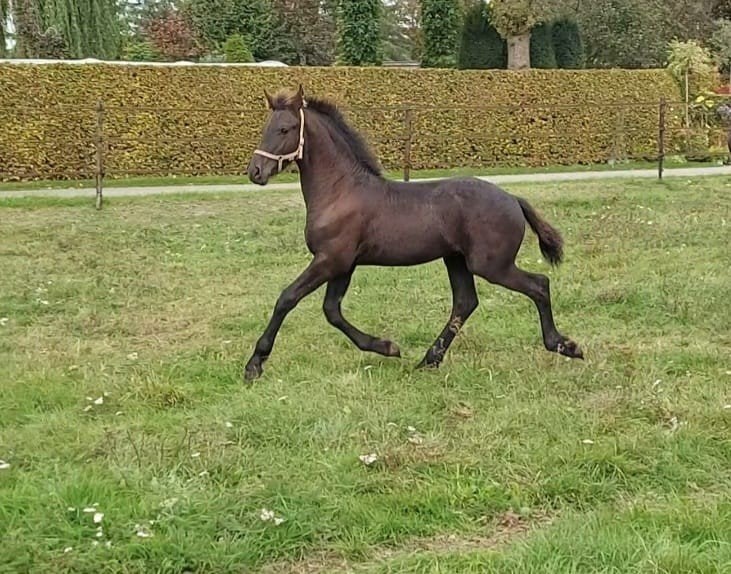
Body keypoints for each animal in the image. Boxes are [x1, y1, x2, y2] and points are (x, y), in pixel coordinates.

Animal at [243, 85, 583, 381]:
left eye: (285, 129)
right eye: (265, 127)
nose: (255, 172)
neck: (341, 191)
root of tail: (513, 199)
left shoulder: (331, 259)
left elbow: (287, 298)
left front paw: (254, 364)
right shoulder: (343, 264)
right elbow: (332, 311)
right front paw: (387, 347)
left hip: (491, 265)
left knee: (538, 285)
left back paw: (565, 345)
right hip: (456, 260)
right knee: (465, 303)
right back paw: (428, 360)